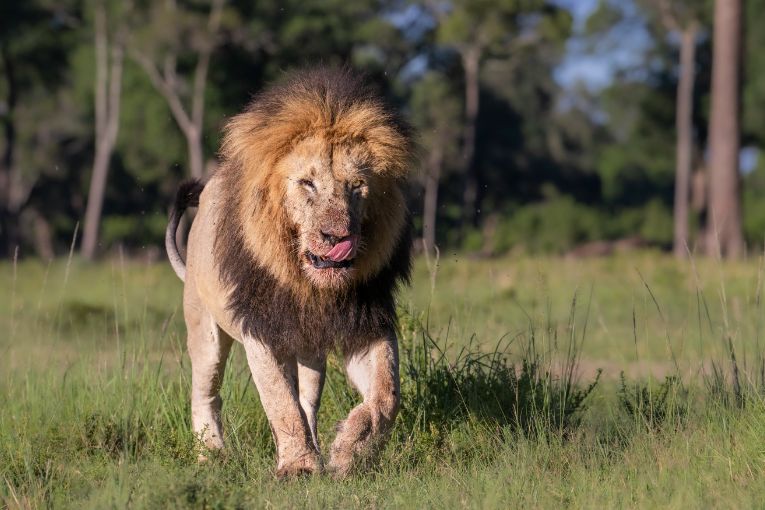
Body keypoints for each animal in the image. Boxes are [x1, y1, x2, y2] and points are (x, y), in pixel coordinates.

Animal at [166, 67, 414, 478]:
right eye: (307, 183)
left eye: (356, 186)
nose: (337, 236)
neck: (310, 287)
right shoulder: (262, 330)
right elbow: (281, 402)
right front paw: (298, 467)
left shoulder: (365, 323)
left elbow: (386, 395)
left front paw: (348, 453)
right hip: (205, 331)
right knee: (205, 393)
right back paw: (212, 455)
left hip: (311, 350)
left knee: (309, 399)